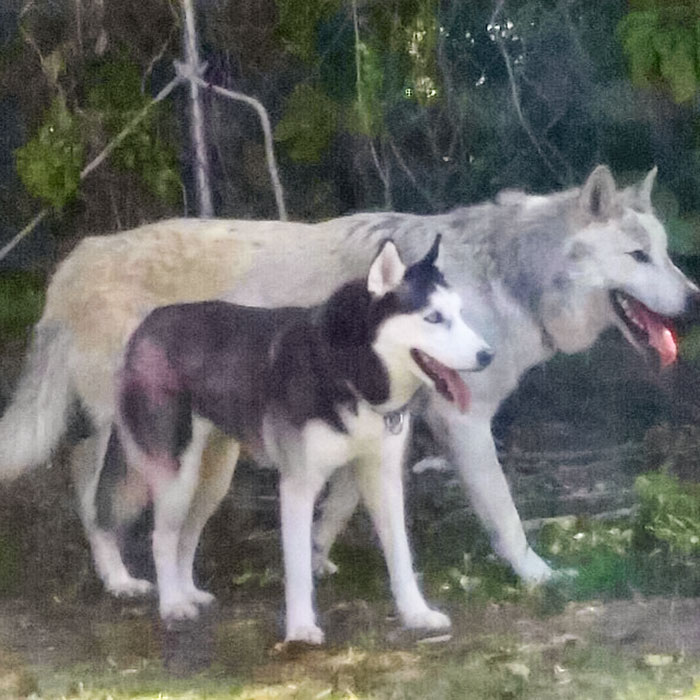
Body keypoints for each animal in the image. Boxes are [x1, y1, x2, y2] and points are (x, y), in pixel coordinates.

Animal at [0, 163, 696, 596]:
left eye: (665, 253)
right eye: (639, 256)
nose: (693, 301)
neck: (505, 276)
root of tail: (76, 259)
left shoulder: (390, 423)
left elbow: (337, 505)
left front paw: (312, 559)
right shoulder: (464, 424)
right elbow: (505, 515)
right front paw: (539, 577)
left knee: (80, 474)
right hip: (149, 436)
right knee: (93, 488)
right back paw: (123, 581)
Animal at [106, 238, 490, 644]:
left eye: (461, 313)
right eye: (433, 317)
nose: (488, 355)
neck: (350, 371)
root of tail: (146, 325)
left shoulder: (383, 477)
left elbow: (400, 554)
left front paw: (416, 612)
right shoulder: (298, 485)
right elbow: (299, 566)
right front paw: (302, 628)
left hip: (212, 480)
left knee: (186, 535)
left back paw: (187, 592)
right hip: (176, 475)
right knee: (162, 539)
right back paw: (172, 604)